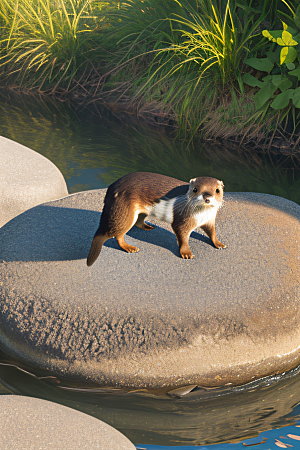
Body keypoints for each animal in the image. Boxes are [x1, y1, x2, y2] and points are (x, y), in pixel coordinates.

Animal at [86, 171, 225, 266]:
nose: (207, 197)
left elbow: (212, 233)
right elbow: (183, 236)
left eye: (217, 190)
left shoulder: (210, 220)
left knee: (138, 222)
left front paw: (219, 244)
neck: (202, 216)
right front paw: (186, 253)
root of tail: (112, 187)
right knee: (118, 234)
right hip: (124, 213)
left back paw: (148, 227)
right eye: (195, 189)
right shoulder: (183, 221)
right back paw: (130, 248)